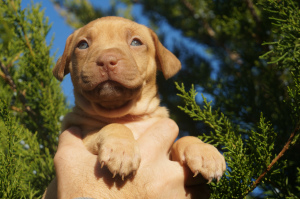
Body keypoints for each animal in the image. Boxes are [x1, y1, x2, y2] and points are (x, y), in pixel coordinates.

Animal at [45, 16, 226, 197]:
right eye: (82, 45)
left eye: (136, 42)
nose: (106, 60)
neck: (126, 115)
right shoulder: (84, 136)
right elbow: (114, 126)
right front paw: (121, 150)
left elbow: (184, 139)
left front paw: (204, 152)